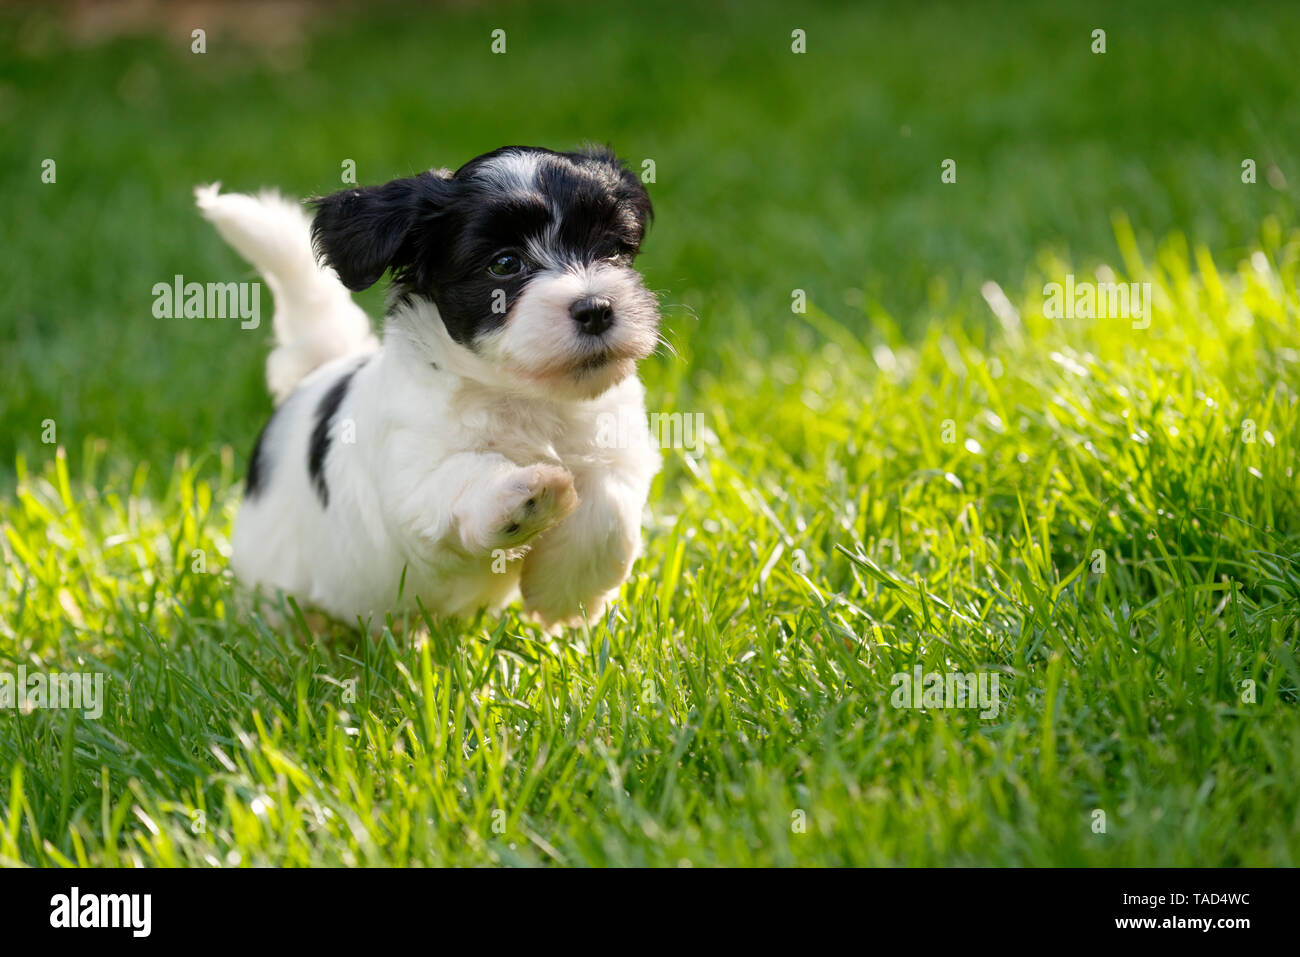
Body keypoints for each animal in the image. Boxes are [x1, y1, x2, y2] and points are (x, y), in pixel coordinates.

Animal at [197, 143, 665, 629]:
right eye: (504, 264)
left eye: (611, 250)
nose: (596, 308)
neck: (527, 397)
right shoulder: (414, 476)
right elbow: (465, 472)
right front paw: (522, 498)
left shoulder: (619, 443)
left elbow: (609, 505)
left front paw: (563, 597)